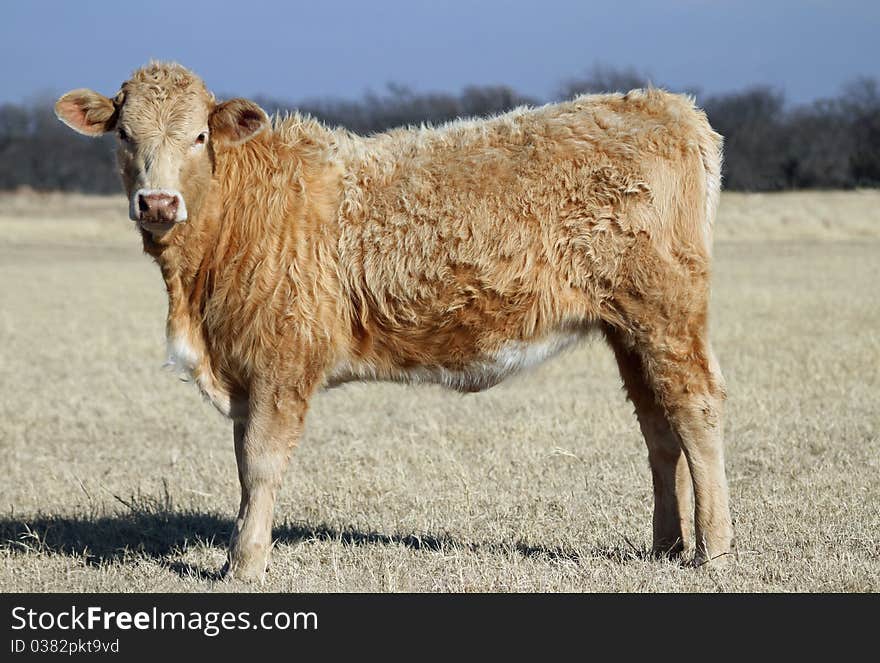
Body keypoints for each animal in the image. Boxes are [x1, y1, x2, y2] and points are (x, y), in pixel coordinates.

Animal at [51, 62, 732, 580]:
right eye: (124, 136)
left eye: (197, 137)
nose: (158, 202)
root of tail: (666, 105)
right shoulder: (245, 370)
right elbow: (243, 468)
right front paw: (241, 551)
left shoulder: (280, 361)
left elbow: (263, 463)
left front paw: (243, 566)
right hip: (629, 329)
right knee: (658, 426)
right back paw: (666, 546)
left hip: (667, 314)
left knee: (695, 409)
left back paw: (714, 549)